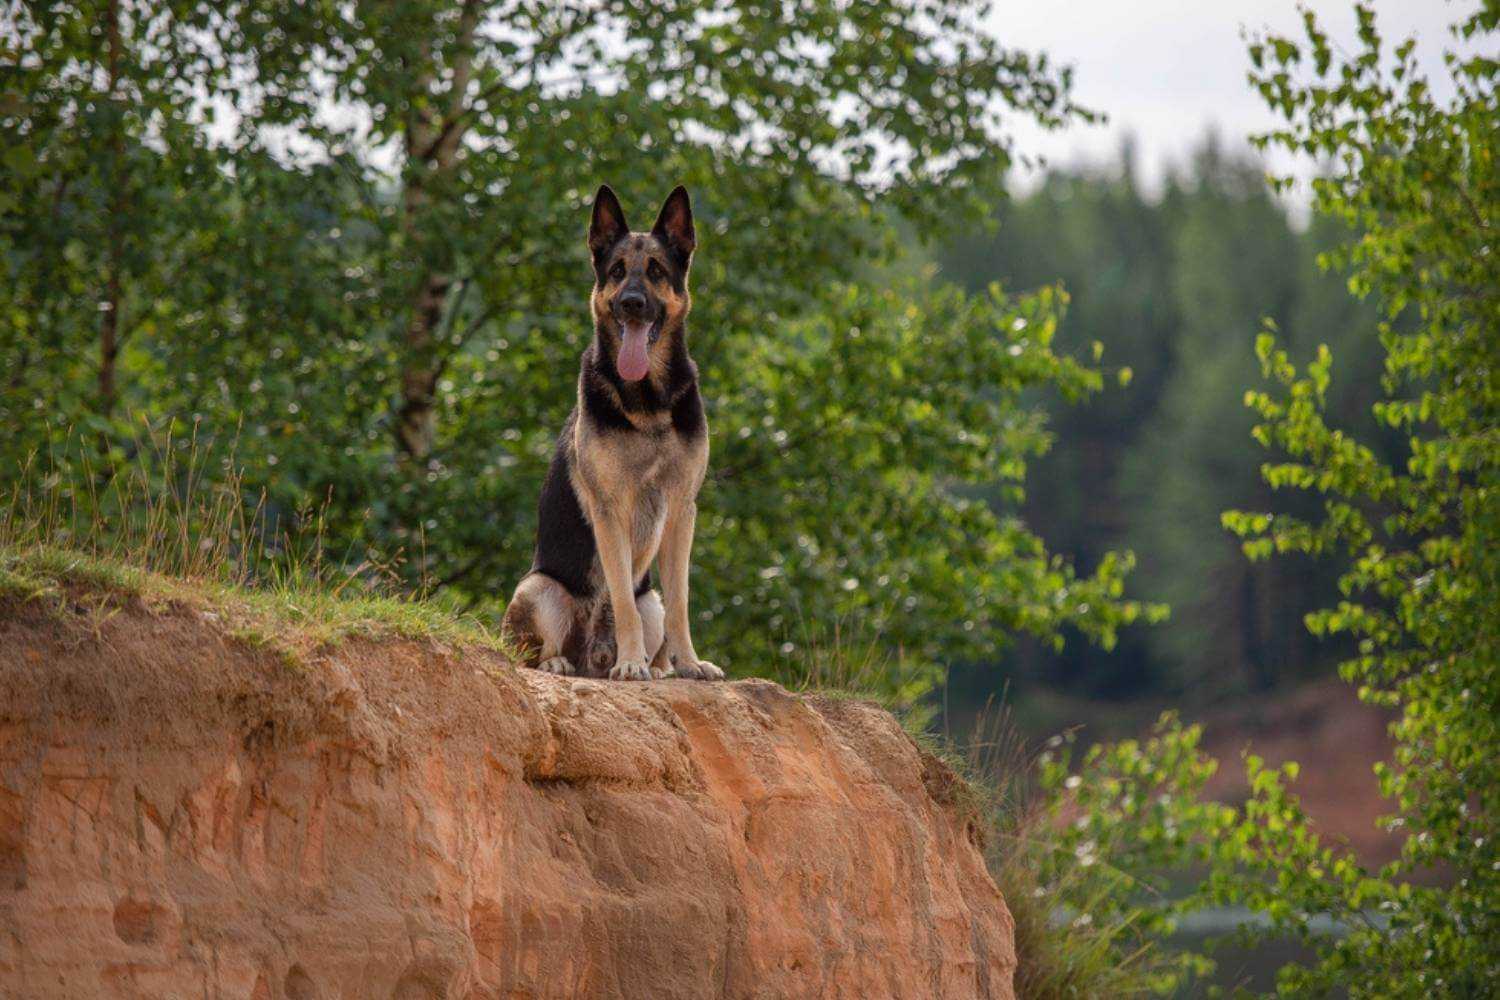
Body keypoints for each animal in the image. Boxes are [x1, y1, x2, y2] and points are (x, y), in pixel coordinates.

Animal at [501, 185, 723, 683]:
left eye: (656, 271)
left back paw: (661, 667)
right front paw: (630, 662)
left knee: (658, 616)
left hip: (650, 599)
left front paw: (689, 662)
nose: (631, 303)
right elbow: (619, 597)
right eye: (617, 272)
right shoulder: (610, 510)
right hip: (538, 588)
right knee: (534, 651)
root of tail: (592, 661)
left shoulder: (682, 510)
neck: (648, 402)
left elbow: (681, 602)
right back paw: (569, 660)